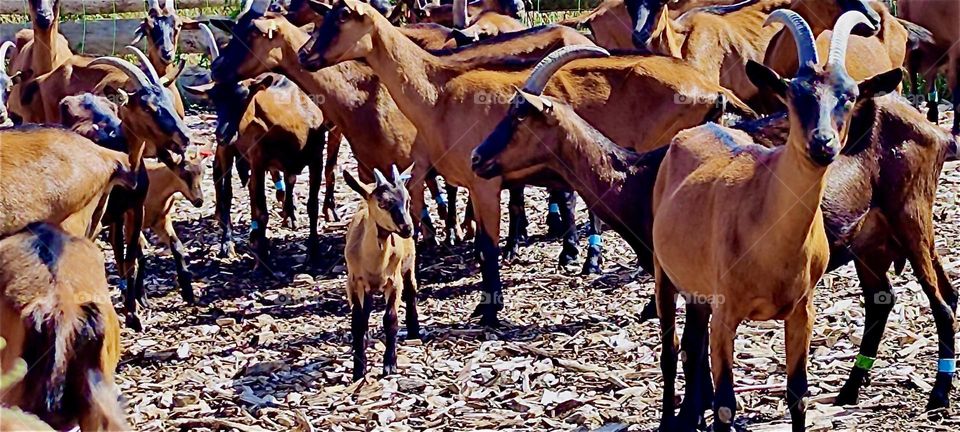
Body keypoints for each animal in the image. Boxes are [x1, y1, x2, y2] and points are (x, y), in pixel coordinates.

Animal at [299, 0, 753, 326]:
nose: (304, 55)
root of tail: (713, 90)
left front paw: (489, 308)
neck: (438, 91)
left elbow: (488, 244)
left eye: (340, 19)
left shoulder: (484, 183)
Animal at [343, 165, 420, 381]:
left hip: (409, 264)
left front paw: (389, 366)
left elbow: (390, 319)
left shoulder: (394, 281)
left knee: (412, 291)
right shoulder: (353, 282)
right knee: (366, 308)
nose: (407, 228)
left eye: (408, 200)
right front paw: (359, 370)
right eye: (383, 203)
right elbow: (357, 321)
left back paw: (414, 330)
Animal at [650, 11, 901, 431]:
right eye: (795, 93)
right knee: (669, 352)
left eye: (849, 96)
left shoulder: (802, 310)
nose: (823, 143)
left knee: (690, 345)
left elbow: (798, 394)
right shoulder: (727, 312)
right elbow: (725, 403)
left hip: (698, 290)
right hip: (662, 272)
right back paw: (669, 418)